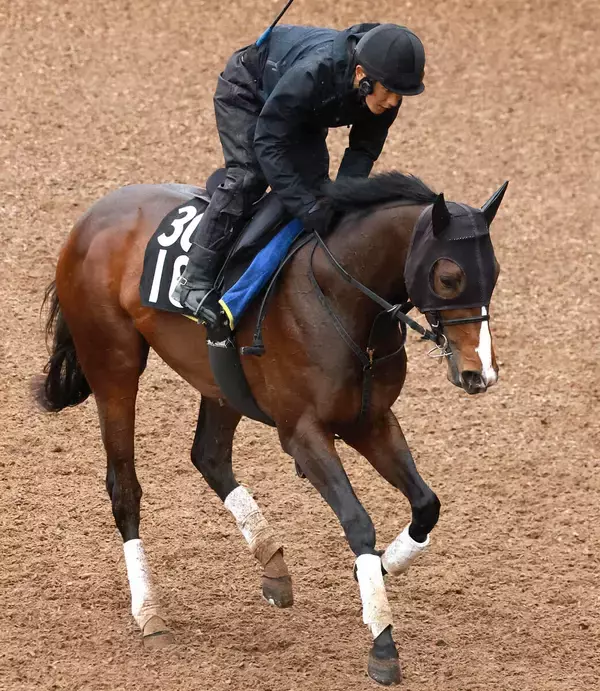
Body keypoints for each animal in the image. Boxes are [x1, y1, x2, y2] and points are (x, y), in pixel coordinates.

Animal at [36, 171, 505, 686]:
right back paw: (150, 612)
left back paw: (272, 563)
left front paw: (384, 566)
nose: (479, 373)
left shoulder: (370, 420)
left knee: (209, 456)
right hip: (113, 365)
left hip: (218, 378)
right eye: (449, 277)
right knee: (125, 486)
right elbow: (357, 522)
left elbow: (426, 504)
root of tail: (91, 216)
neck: (342, 299)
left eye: (495, 273)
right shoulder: (303, 433)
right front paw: (382, 642)